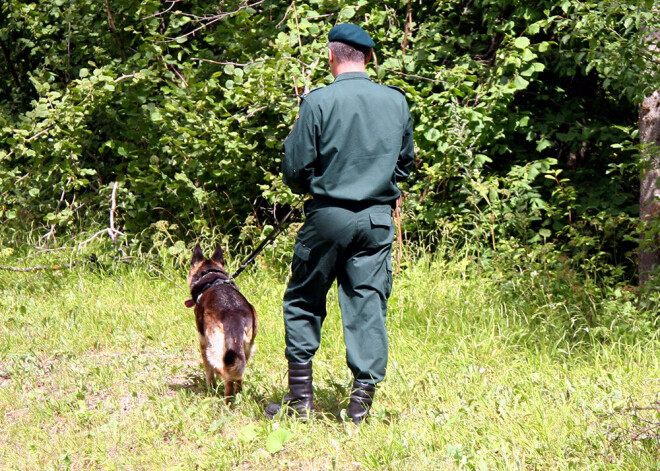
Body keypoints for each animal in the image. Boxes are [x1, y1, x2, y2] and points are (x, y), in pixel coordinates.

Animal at [186, 243, 260, 402]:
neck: (211, 277)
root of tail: (233, 316)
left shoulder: (202, 341)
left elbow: (208, 372)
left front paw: (210, 388)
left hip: (213, 350)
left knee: (226, 375)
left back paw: (226, 401)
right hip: (245, 349)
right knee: (239, 375)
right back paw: (238, 395)